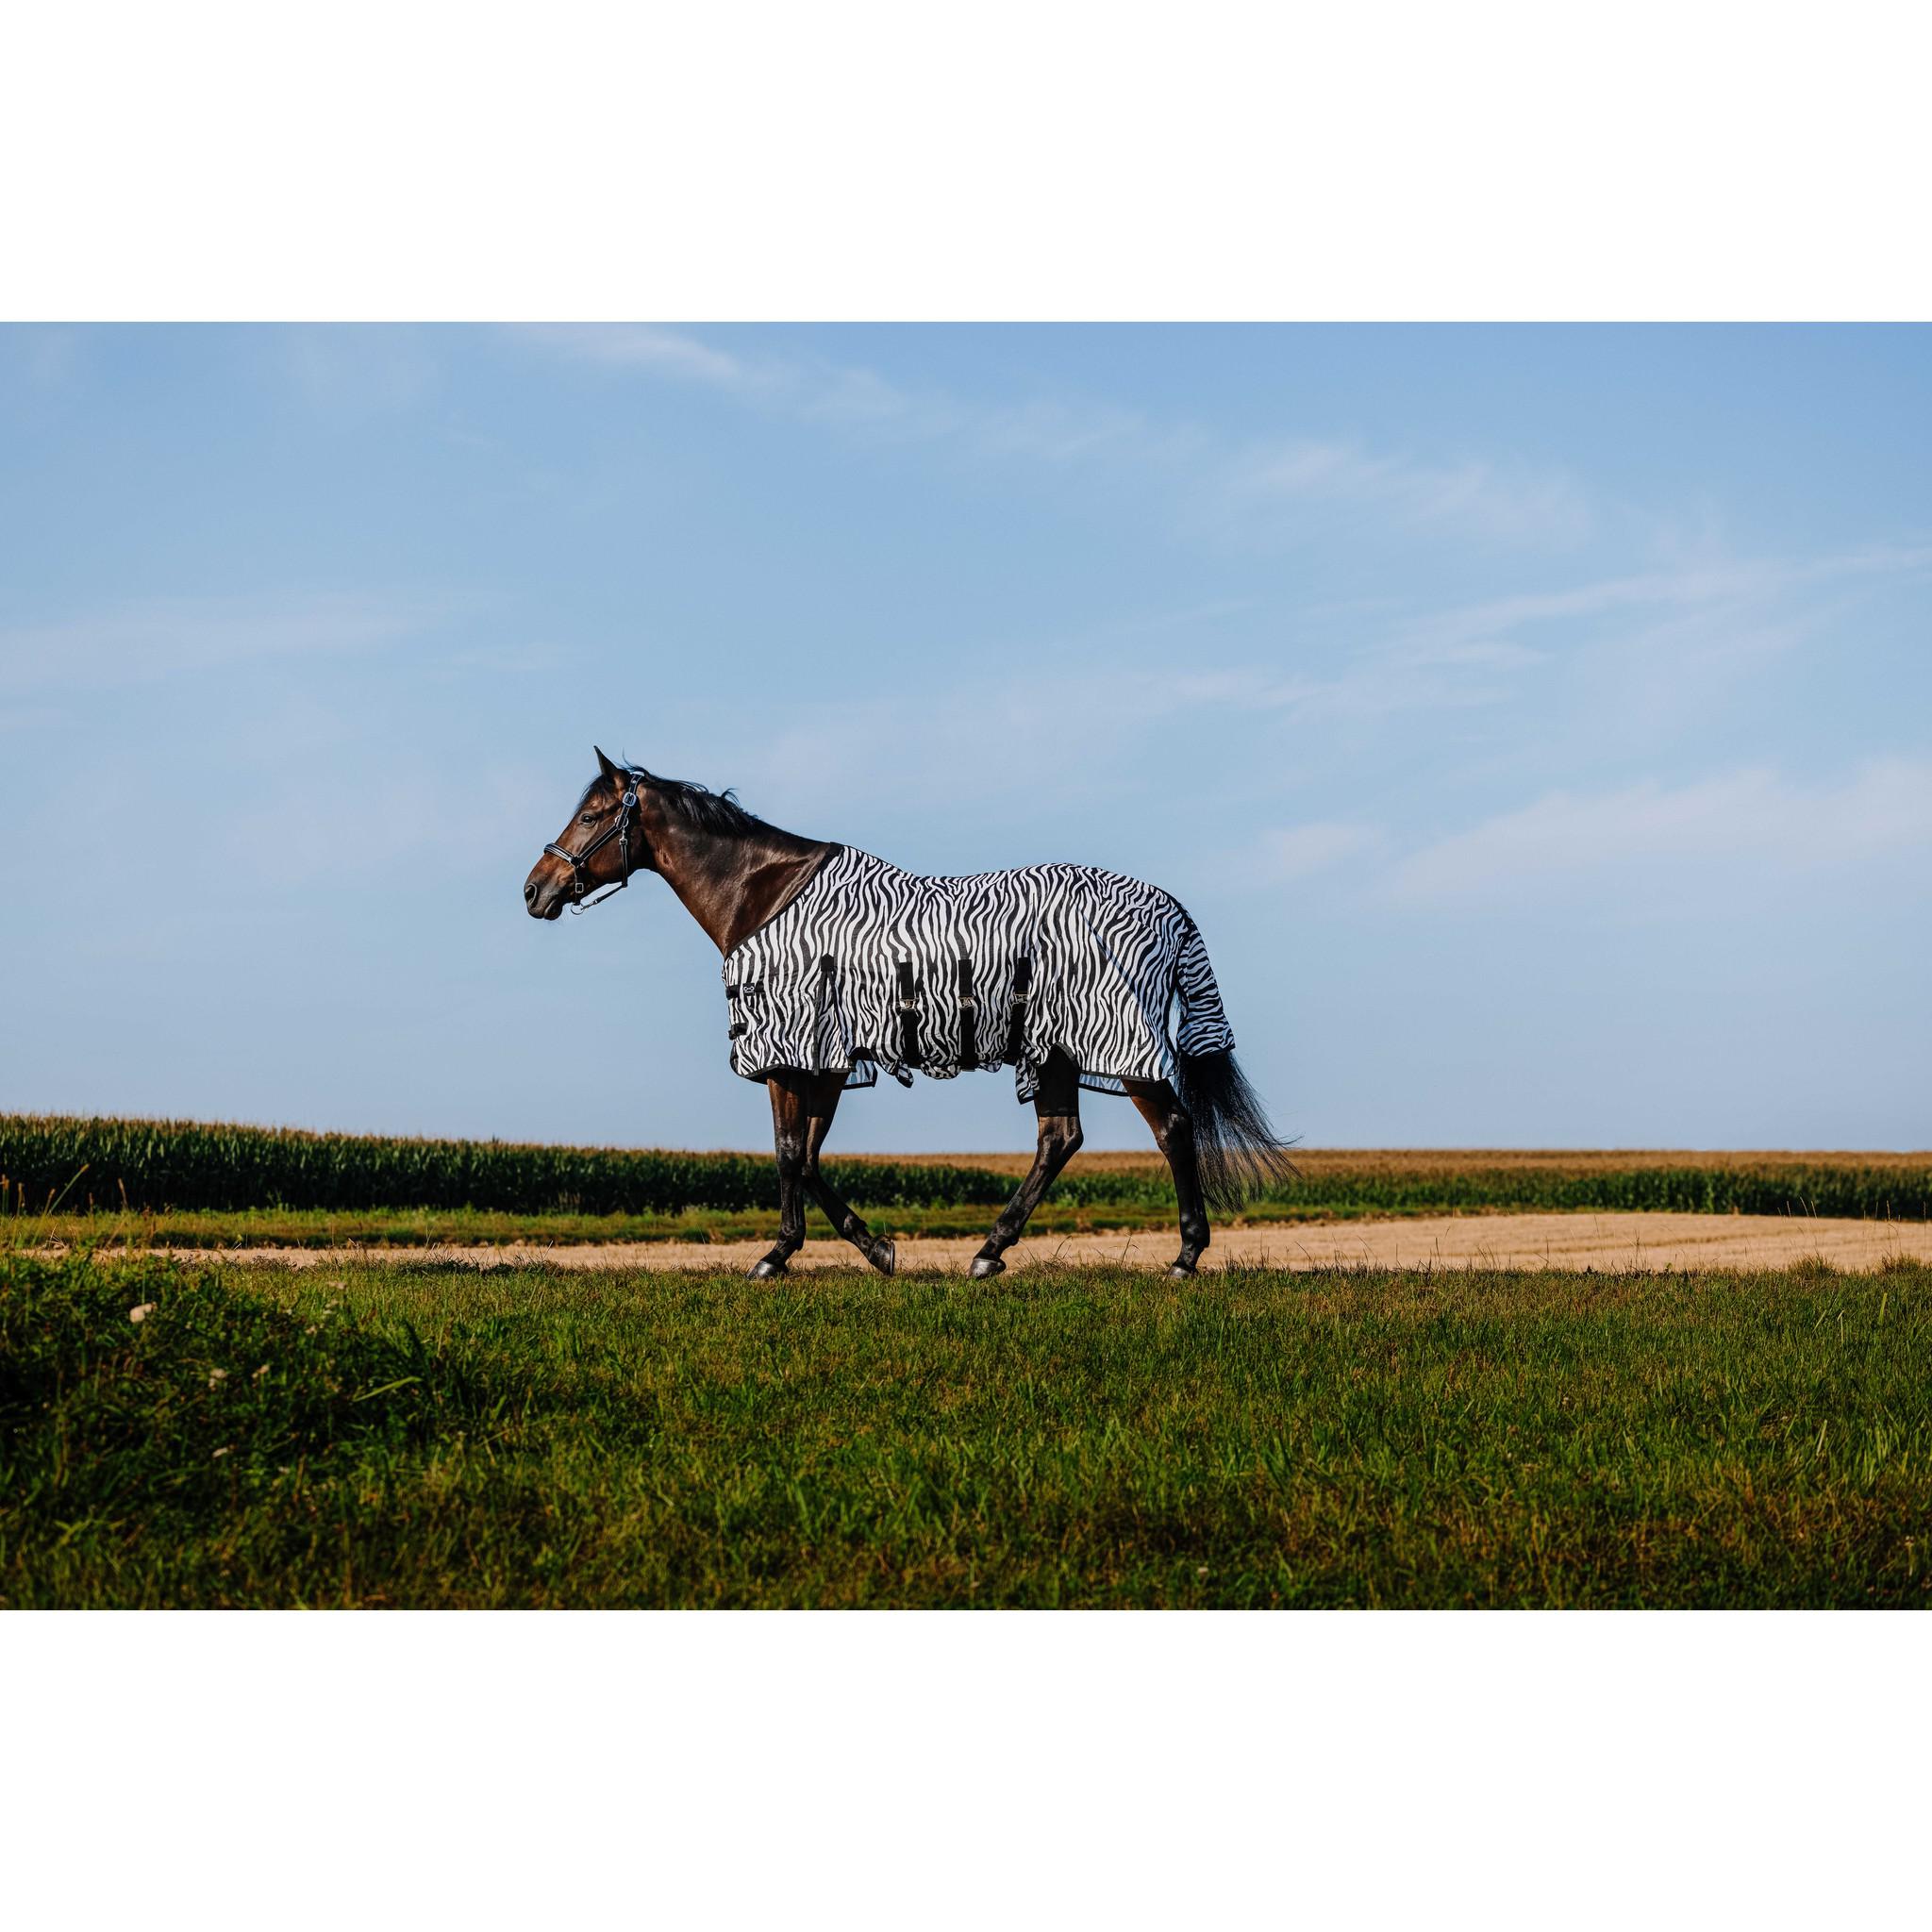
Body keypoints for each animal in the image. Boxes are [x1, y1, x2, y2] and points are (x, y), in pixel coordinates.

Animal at [525, 750, 1293, 1279]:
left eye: (591, 817)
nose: (535, 889)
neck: (766, 897)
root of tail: (1165, 905)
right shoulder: (824, 1063)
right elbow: (807, 1155)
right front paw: (872, 1249)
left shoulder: (795, 1055)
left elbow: (790, 1154)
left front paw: (785, 1256)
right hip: (1052, 1053)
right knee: (1059, 1140)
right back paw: (989, 1253)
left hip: (1120, 1046)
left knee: (1171, 1130)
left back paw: (1183, 1259)